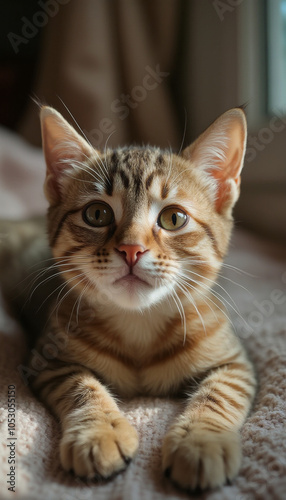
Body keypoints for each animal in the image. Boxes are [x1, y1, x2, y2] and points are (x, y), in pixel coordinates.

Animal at [0, 107, 256, 490]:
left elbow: (221, 392)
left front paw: (200, 441)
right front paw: (100, 432)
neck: (140, 322)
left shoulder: (235, 362)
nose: (131, 249)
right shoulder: (47, 359)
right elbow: (80, 385)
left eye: (173, 218)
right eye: (97, 213)